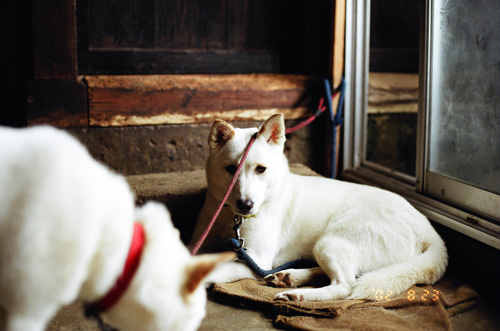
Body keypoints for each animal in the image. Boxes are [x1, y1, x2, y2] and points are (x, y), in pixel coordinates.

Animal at [189, 114, 448, 304]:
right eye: (231, 169)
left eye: (261, 169)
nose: (246, 205)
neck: (231, 217)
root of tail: (431, 232)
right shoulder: (199, 243)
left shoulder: (255, 259)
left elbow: (210, 269)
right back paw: (290, 277)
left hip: (330, 241)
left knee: (345, 286)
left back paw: (297, 294)